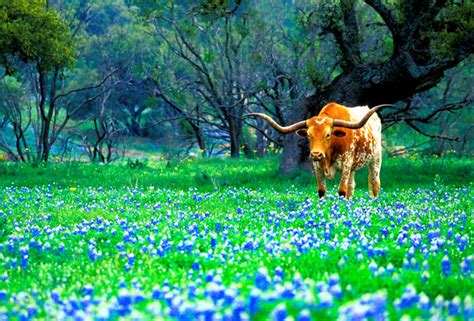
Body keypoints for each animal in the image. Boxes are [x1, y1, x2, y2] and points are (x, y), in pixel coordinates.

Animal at [244, 102, 392, 198]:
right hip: (353, 168)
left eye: (328, 134)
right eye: (309, 135)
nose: (316, 154)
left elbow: (341, 191)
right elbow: (321, 191)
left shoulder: (346, 164)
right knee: (351, 186)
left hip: (375, 159)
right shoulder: (317, 167)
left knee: (374, 183)